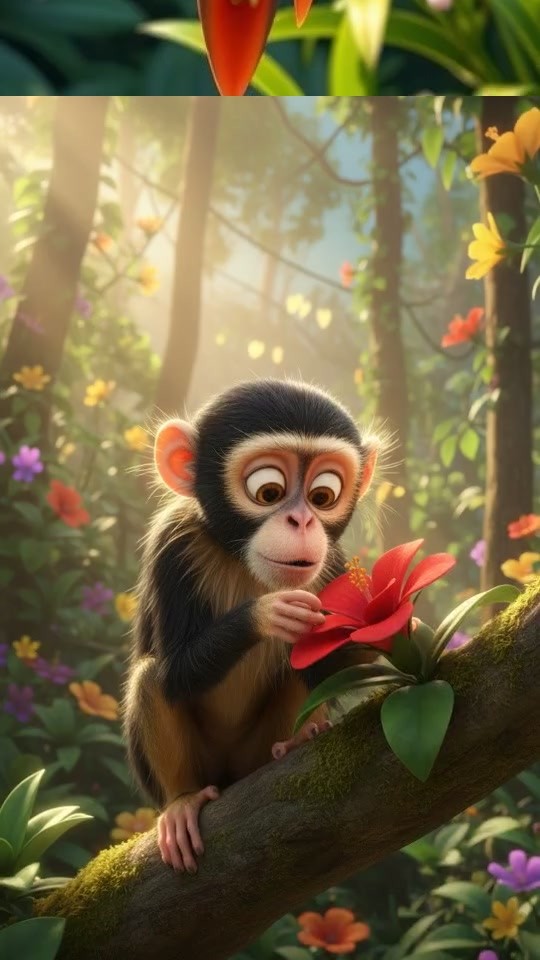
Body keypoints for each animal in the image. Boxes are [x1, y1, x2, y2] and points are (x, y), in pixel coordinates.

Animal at [123, 378, 379, 873]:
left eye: (323, 496)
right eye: (269, 491)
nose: (302, 520)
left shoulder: (333, 566)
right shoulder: (172, 542)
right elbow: (175, 673)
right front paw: (268, 613)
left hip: (253, 754)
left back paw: (298, 740)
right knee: (151, 679)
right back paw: (182, 802)